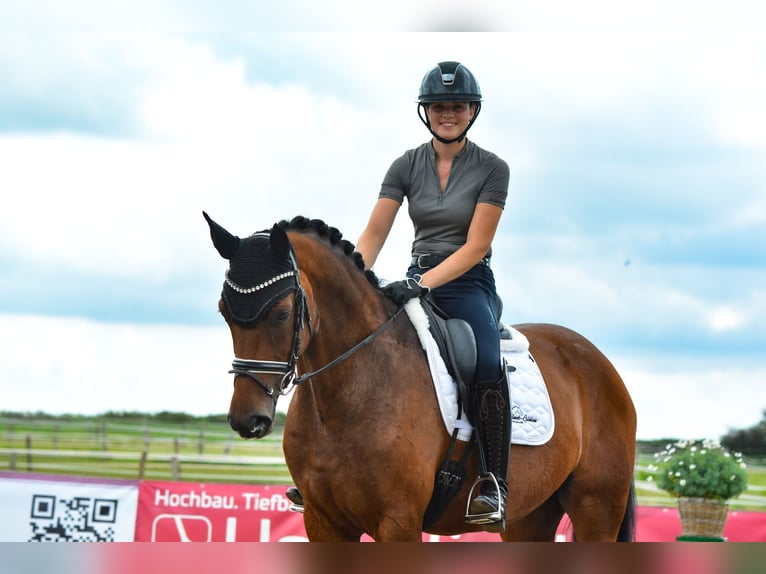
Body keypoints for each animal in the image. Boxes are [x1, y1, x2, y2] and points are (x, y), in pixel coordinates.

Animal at [206, 214, 640, 544]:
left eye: (281, 314)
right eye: (224, 311)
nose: (248, 420)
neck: (347, 393)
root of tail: (598, 361)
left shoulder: (398, 522)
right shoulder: (323, 522)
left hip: (596, 508)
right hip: (529, 517)